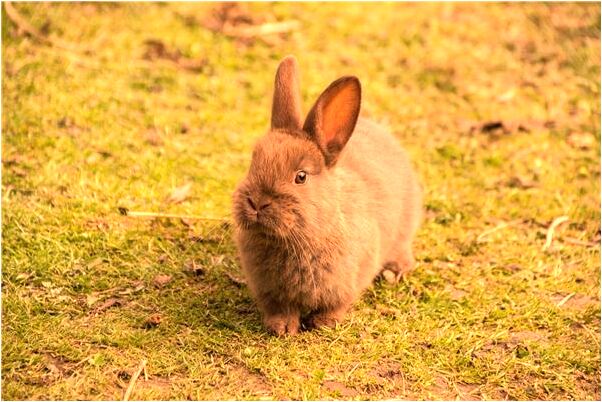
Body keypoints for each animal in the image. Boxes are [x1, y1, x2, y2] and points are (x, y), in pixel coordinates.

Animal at [231, 55, 422, 334]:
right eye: (253, 163)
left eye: (301, 177)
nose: (256, 202)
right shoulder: (271, 293)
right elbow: (280, 309)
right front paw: (282, 328)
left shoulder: (350, 280)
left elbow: (337, 305)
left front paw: (323, 323)